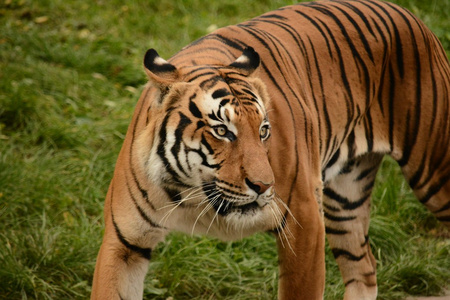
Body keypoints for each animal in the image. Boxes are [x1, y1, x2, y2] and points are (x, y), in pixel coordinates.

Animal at [89, 0, 448, 298]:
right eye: (222, 131)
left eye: (263, 130)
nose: (263, 186)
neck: (194, 196)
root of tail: (411, 15)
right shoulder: (124, 244)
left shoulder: (304, 221)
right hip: (346, 199)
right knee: (365, 268)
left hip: (433, 171)